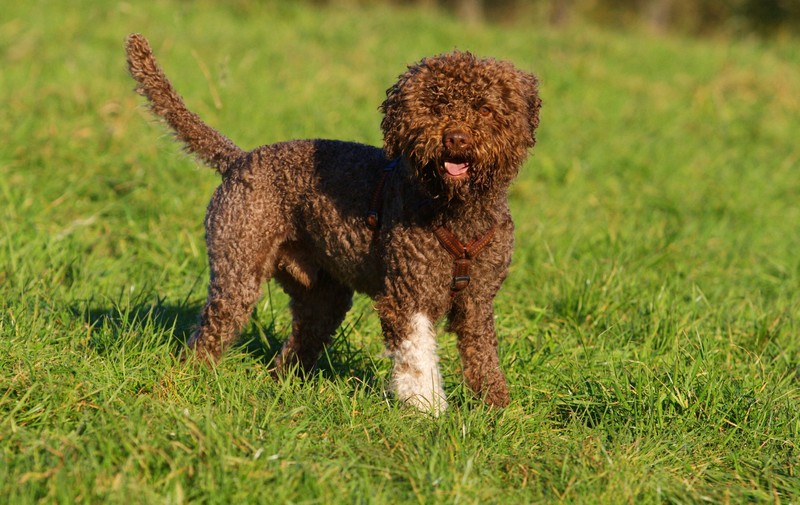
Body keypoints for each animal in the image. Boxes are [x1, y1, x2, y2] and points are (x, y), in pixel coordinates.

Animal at [125, 32, 540, 414]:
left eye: (484, 109)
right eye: (435, 105)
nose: (456, 138)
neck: (456, 211)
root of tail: (238, 159)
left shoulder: (477, 300)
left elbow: (482, 354)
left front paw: (497, 408)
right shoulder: (406, 295)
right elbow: (418, 360)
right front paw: (428, 410)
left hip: (323, 293)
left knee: (299, 341)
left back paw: (284, 385)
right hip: (238, 269)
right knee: (209, 335)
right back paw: (190, 381)